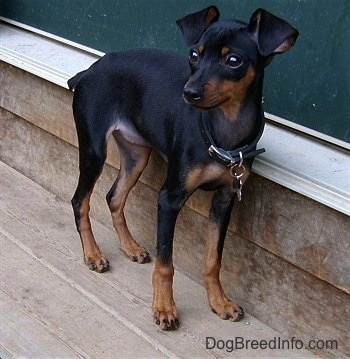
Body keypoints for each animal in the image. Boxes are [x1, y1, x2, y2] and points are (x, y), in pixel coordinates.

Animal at [68, 5, 298, 332]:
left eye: (234, 60)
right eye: (194, 54)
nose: (189, 93)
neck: (224, 127)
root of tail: (91, 68)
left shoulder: (225, 200)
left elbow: (213, 260)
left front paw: (219, 302)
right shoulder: (169, 199)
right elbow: (166, 263)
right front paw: (164, 308)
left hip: (137, 155)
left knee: (114, 196)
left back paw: (130, 247)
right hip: (94, 151)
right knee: (80, 200)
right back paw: (93, 254)